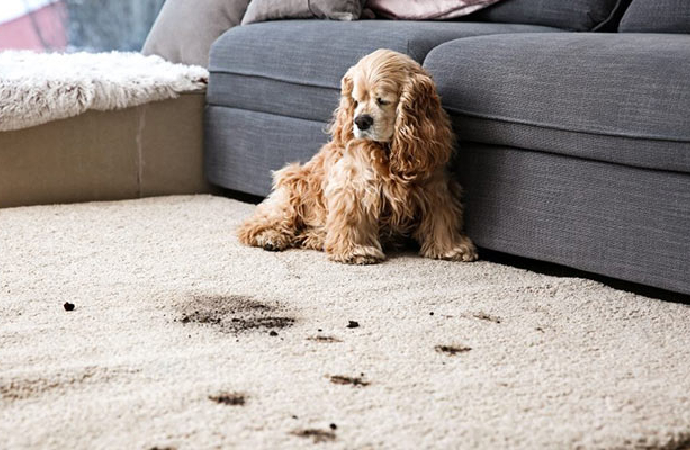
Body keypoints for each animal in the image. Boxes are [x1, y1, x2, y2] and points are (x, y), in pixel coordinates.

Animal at [235, 48, 472, 264]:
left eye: (382, 100)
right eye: (356, 100)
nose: (360, 121)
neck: (388, 151)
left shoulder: (435, 186)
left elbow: (443, 219)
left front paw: (451, 249)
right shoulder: (354, 186)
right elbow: (353, 219)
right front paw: (356, 251)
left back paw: (317, 238)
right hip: (294, 189)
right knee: (259, 222)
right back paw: (270, 237)